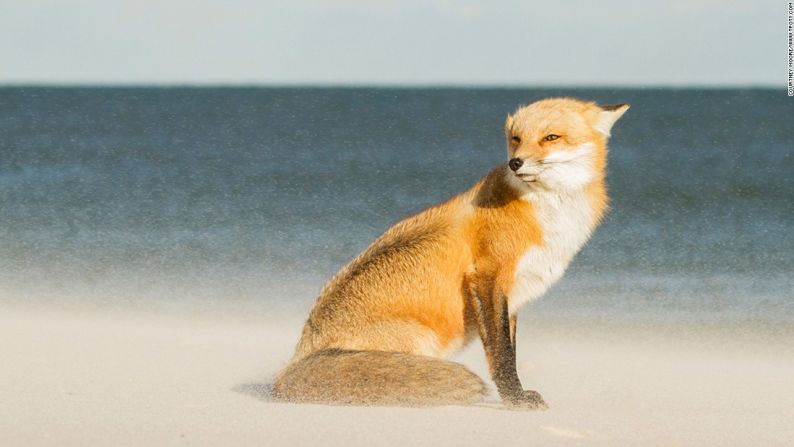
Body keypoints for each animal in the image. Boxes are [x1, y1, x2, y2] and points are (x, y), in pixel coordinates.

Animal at [272, 98, 624, 410]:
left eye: (551, 137)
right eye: (516, 139)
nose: (516, 163)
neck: (546, 211)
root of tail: (295, 359)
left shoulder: (512, 292)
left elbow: (507, 348)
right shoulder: (488, 276)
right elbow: (502, 355)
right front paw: (515, 399)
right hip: (421, 340)